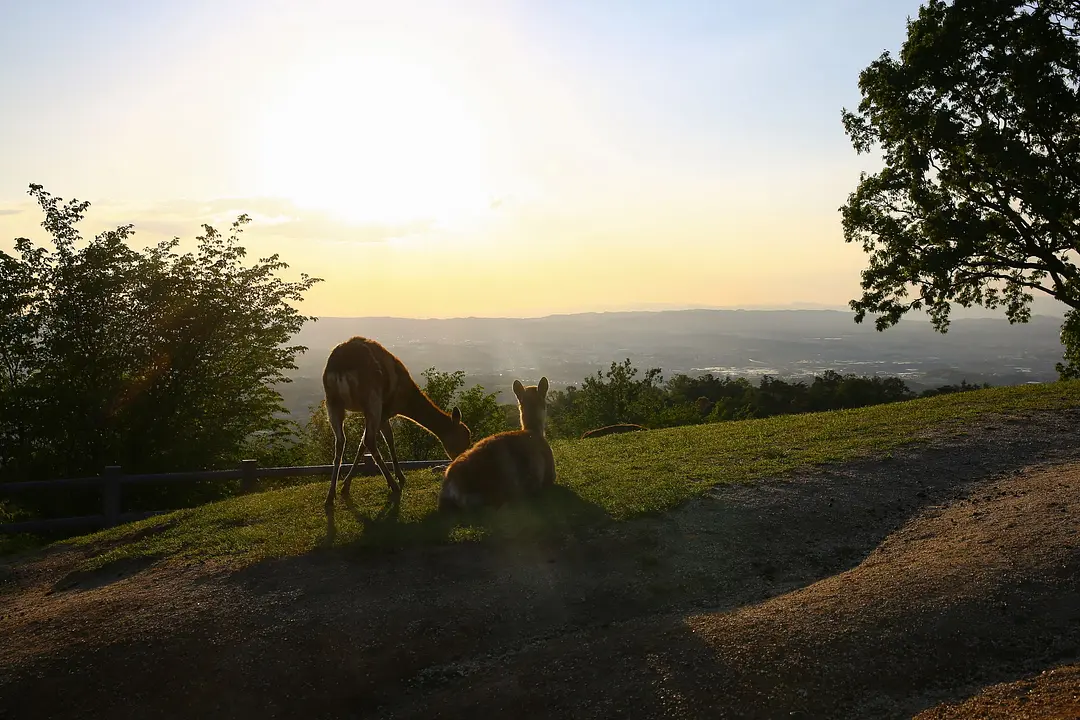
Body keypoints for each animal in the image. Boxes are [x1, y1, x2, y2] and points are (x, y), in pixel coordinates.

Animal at [321, 336, 470, 509]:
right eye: (465, 436)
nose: (462, 458)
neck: (404, 401)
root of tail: (340, 368)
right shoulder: (385, 411)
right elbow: (382, 441)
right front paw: (400, 477)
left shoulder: (383, 415)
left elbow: (369, 443)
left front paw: (345, 485)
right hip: (372, 398)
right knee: (369, 440)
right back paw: (393, 485)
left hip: (332, 402)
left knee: (340, 441)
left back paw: (330, 496)